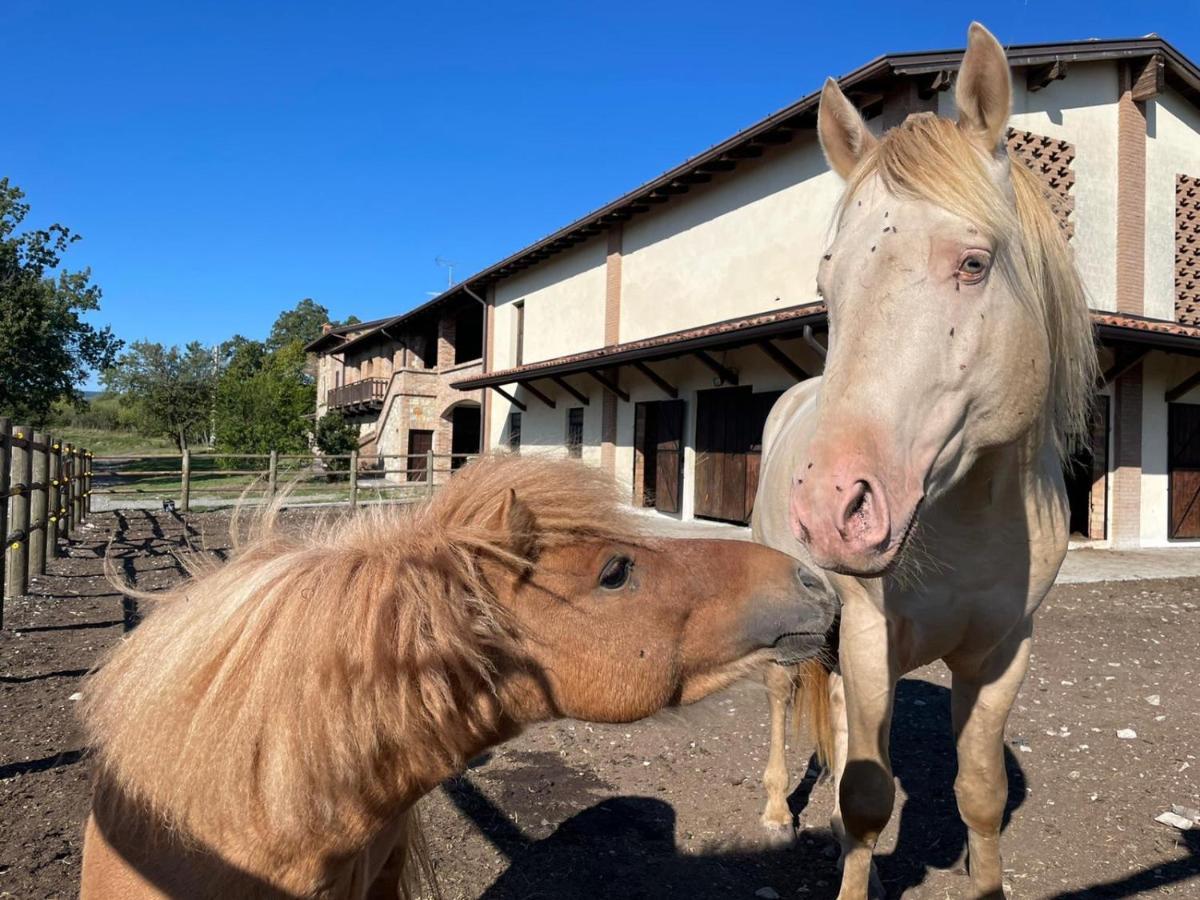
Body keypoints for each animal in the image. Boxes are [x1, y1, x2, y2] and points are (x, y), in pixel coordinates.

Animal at [753, 24, 1099, 897]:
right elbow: (871, 794)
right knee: (781, 695)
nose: (833, 509)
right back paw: (776, 810)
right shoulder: (873, 634)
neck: (968, 517)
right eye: (827, 284)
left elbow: (978, 790)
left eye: (974, 263)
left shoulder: (1003, 650)